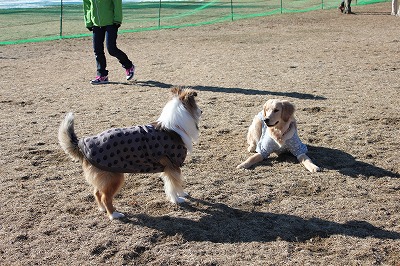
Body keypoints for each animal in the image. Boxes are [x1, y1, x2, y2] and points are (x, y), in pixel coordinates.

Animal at [57, 88, 202, 220]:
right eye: (195, 105)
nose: (202, 111)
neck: (174, 128)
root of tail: (81, 145)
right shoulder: (172, 165)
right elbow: (174, 184)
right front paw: (177, 199)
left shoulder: (170, 168)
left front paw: (182, 194)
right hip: (115, 177)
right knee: (105, 197)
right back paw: (114, 214)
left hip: (105, 178)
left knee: (97, 192)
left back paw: (103, 209)